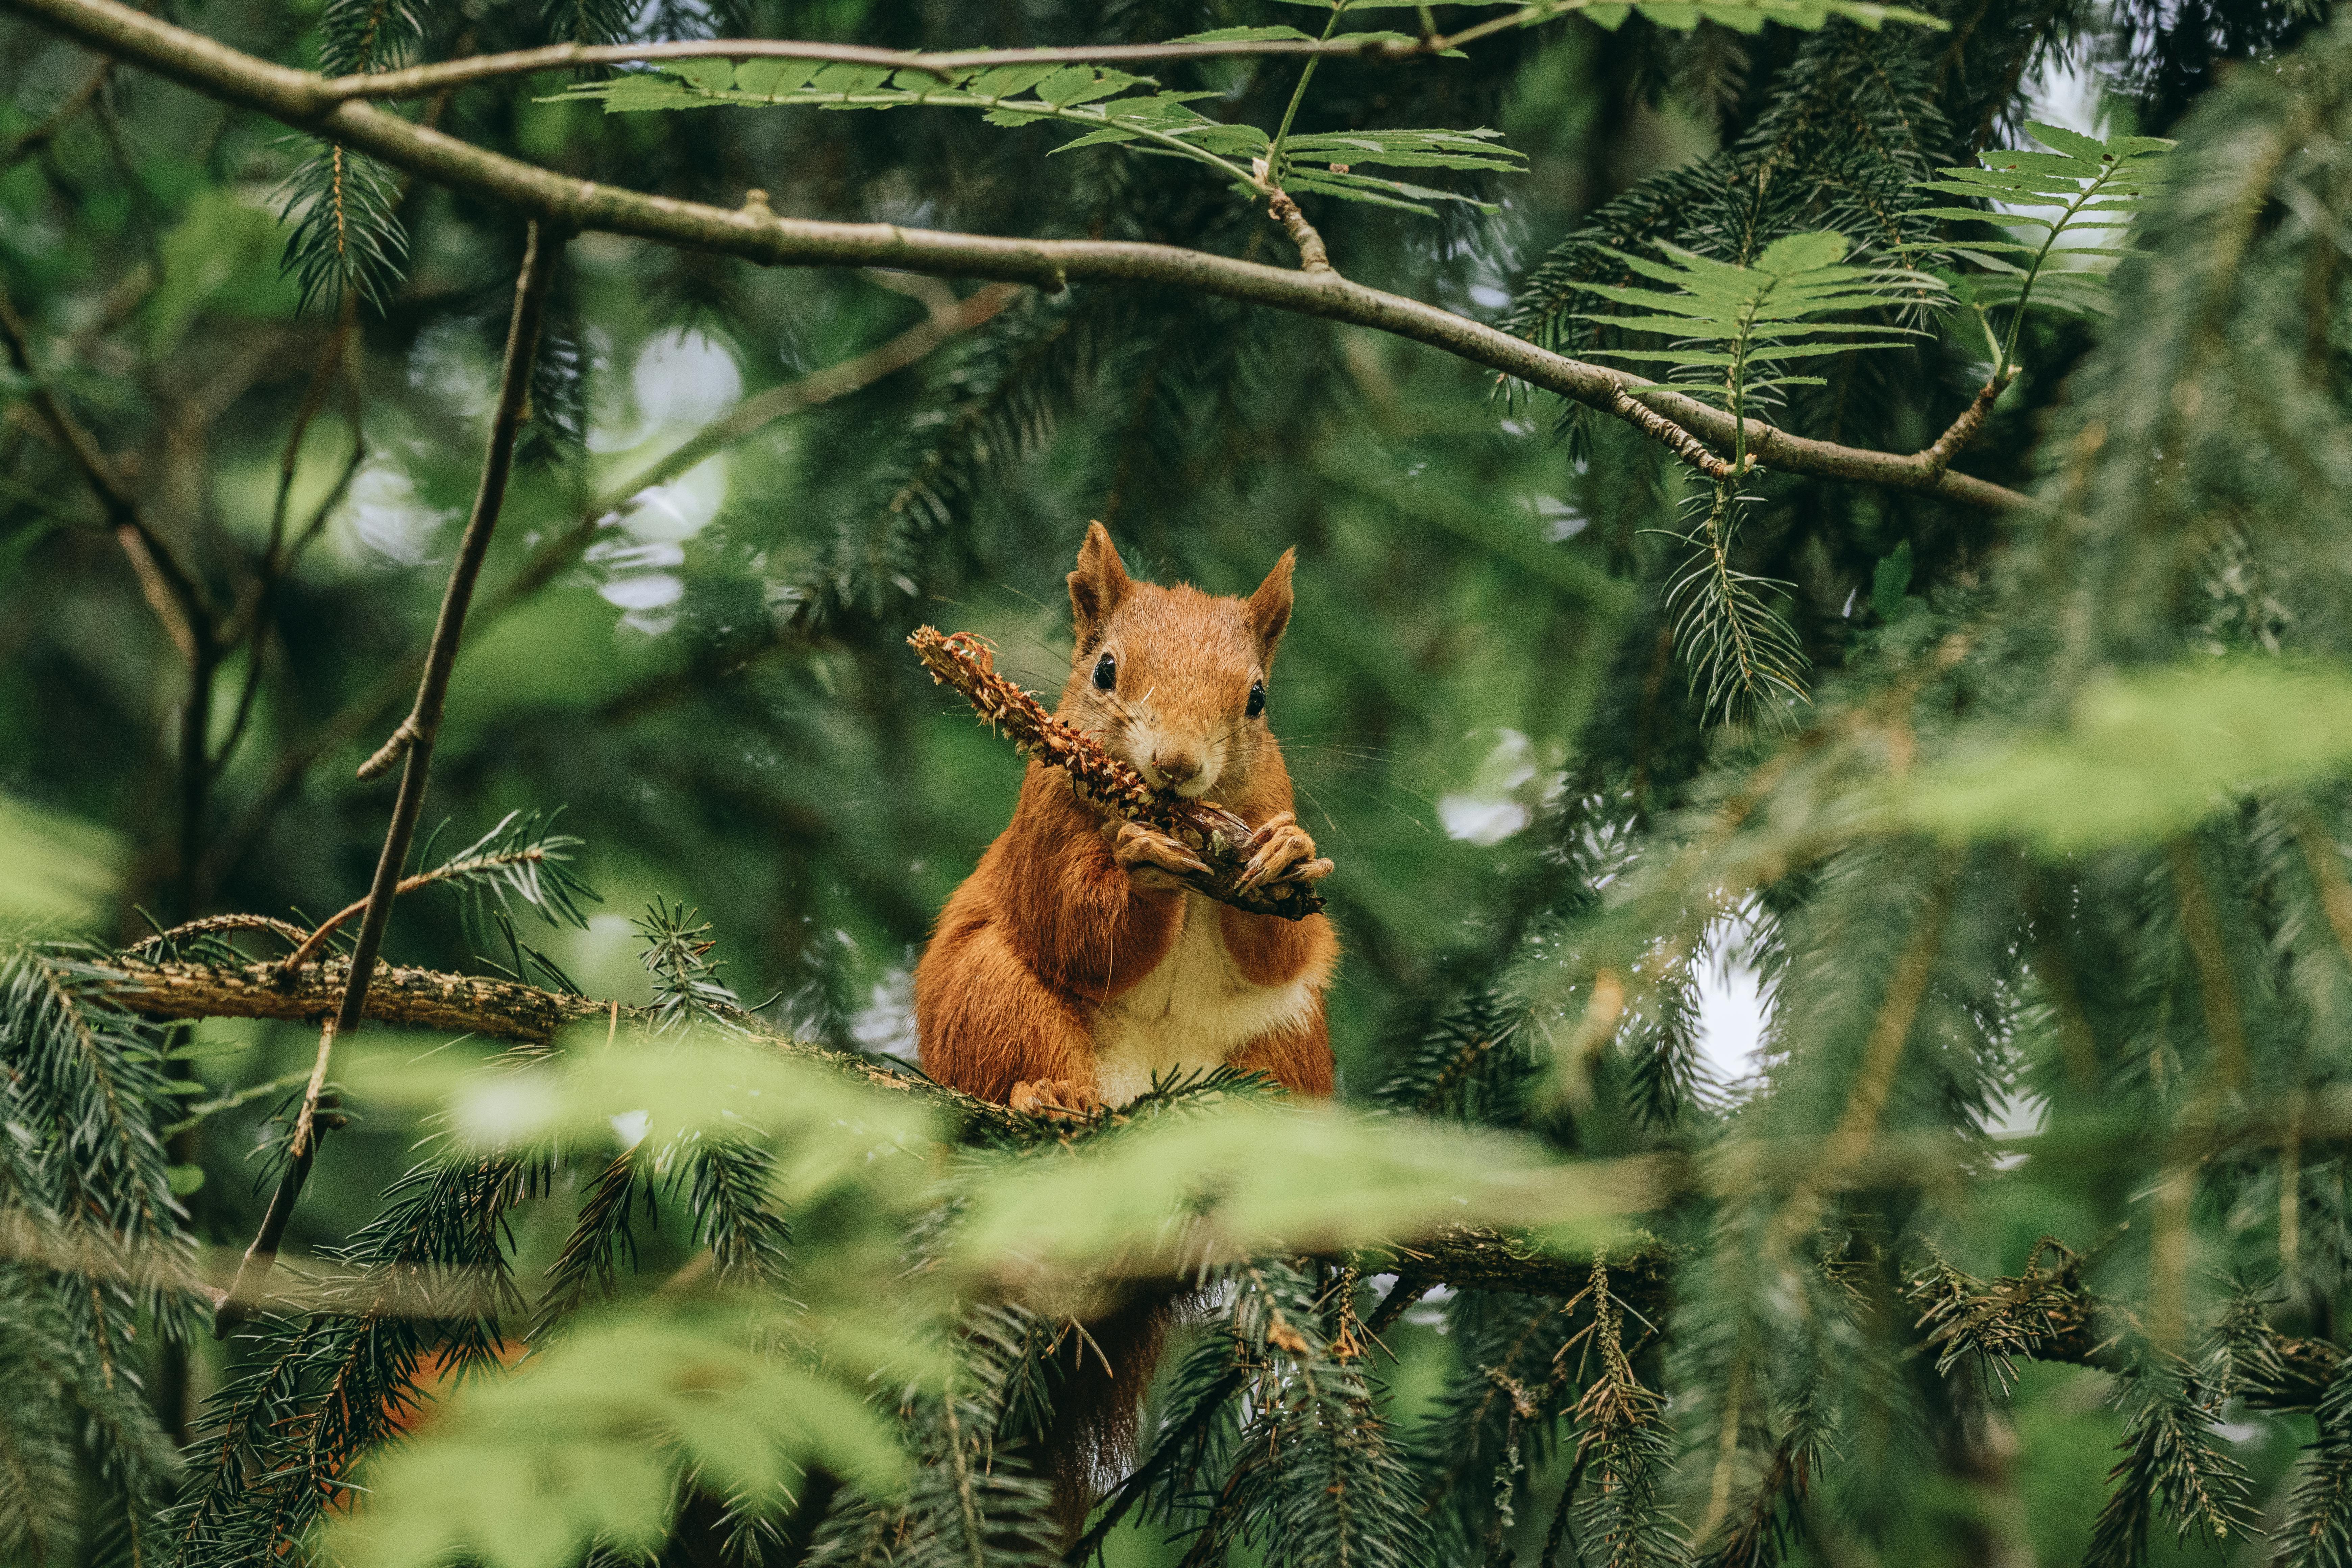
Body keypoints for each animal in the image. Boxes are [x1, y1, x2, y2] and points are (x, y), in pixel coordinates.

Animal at [913, 522, 1339, 1528]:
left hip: (1288, 1041)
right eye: (1105, 670)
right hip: (989, 999)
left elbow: (1284, 945)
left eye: (1257, 698)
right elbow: (1074, 927)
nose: (1176, 767)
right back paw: (1050, 1098)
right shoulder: (1041, 832)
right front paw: (1142, 861)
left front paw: (1282, 853)